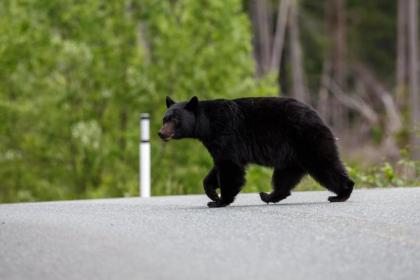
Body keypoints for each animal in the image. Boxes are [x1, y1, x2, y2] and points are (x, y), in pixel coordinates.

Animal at [159, 96, 352, 208]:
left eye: (175, 119)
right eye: (164, 119)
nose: (161, 133)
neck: (207, 125)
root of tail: (319, 116)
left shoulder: (225, 135)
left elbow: (230, 168)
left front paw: (220, 201)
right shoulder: (218, 143)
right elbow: (217, 168)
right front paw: (212, 193)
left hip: (308, 140)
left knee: (325, 165)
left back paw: (341, 194)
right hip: (291, 155)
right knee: (285, 177)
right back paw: (268, 196)